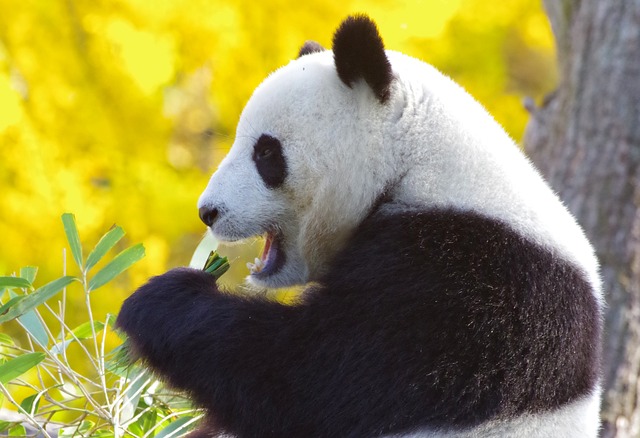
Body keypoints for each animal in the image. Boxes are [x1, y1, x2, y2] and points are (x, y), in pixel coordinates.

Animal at [117, 15, 604, 438]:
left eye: (266, 153)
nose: (208, 212)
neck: (417, 163)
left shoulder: (467, 289)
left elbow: (305, 379)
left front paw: (158, 300)